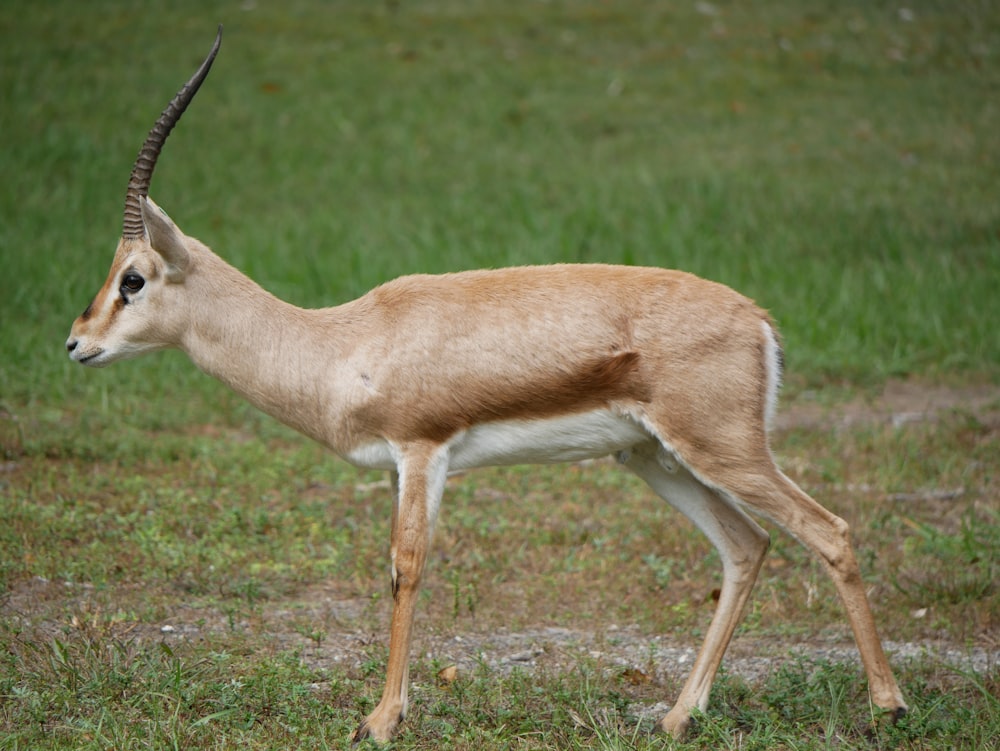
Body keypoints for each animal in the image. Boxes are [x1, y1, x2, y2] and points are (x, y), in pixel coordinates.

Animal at [64, 27, 908, 740]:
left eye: (134, 278)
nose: (76, 343)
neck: (341, 342)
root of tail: (758, 317)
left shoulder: (421, 450)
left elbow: (406, 567)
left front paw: (380, 720)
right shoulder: (406, 463)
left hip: (724, 450)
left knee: (829, 531)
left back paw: (888, 704)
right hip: (654, 458)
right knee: (747, 545)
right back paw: (676, 716)